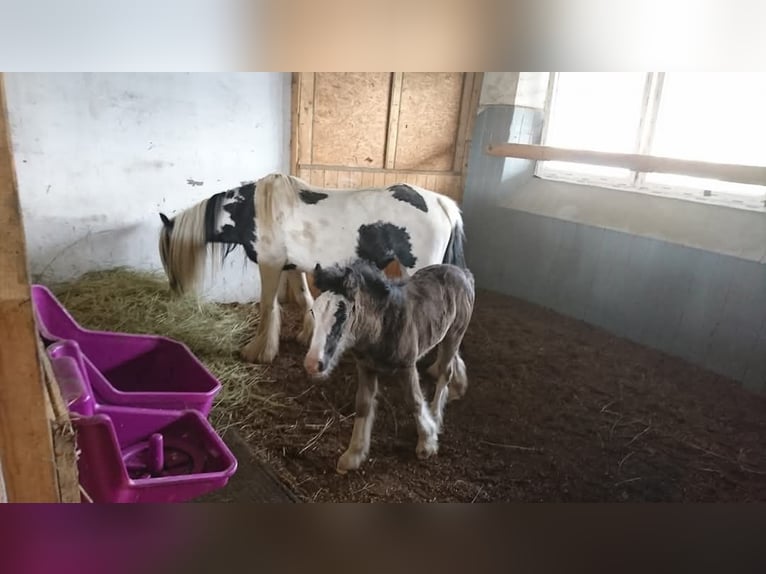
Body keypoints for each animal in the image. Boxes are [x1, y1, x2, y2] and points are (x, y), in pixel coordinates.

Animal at [158, 174, 464, 364]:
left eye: (167, 251)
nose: (174, 289)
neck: (252, 210)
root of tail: (441, 203)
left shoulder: (270, 266)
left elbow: (267, 307)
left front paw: (258, 352)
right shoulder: (292, 266)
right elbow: (305, 299)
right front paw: (307, 335)